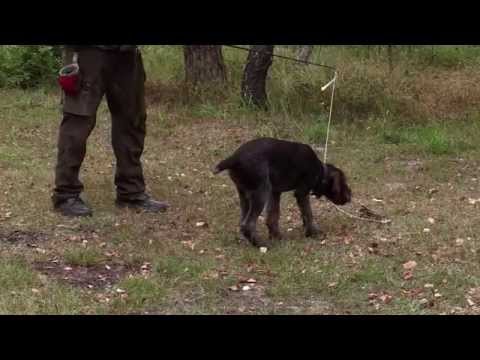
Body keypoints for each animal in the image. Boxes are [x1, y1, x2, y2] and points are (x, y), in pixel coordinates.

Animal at [215, 138, 352, 248]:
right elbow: (308, 213)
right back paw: (261, 244)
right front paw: (312, 232)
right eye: (343, 182)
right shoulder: (301, 193)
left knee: (242, 222)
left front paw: (276, 236)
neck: (320, 171)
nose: (350, 196)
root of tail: (234, 158)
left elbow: (273, 216)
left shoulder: (275, 192)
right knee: (248, 224)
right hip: (261, 192)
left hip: (245, 194)